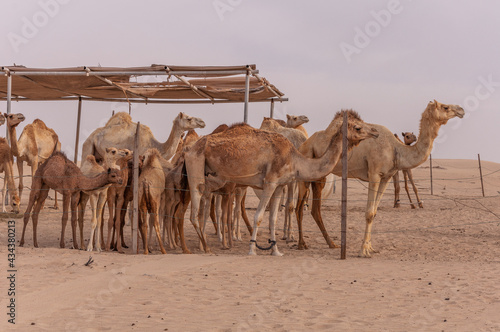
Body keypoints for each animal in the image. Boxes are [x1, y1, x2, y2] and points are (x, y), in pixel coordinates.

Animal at [185, 110, 378, 255]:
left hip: (209, 180)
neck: (295, 159)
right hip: (196, 166)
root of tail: (191, 148)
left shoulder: (279, 186)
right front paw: (252, 250)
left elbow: (273, 218)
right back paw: (206, 247)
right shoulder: (270, 182)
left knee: (202, 211)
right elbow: (259, 216)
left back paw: (203, 245)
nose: (375, 132)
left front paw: (275, 250)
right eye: (358, 127)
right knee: (194, 213)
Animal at [294, 99, 462, 256]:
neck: (396, 149)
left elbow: (374, 212)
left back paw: (331, 243)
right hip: (306, 169)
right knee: (299, 208)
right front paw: (363, 250)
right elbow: (369, 213)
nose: (461, 109)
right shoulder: (374, 174)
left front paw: (370, 247)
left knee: (315, 210)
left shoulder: (386, 177)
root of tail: (304, 144)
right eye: (445, 107)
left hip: (320, 176)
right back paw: (301, 244)